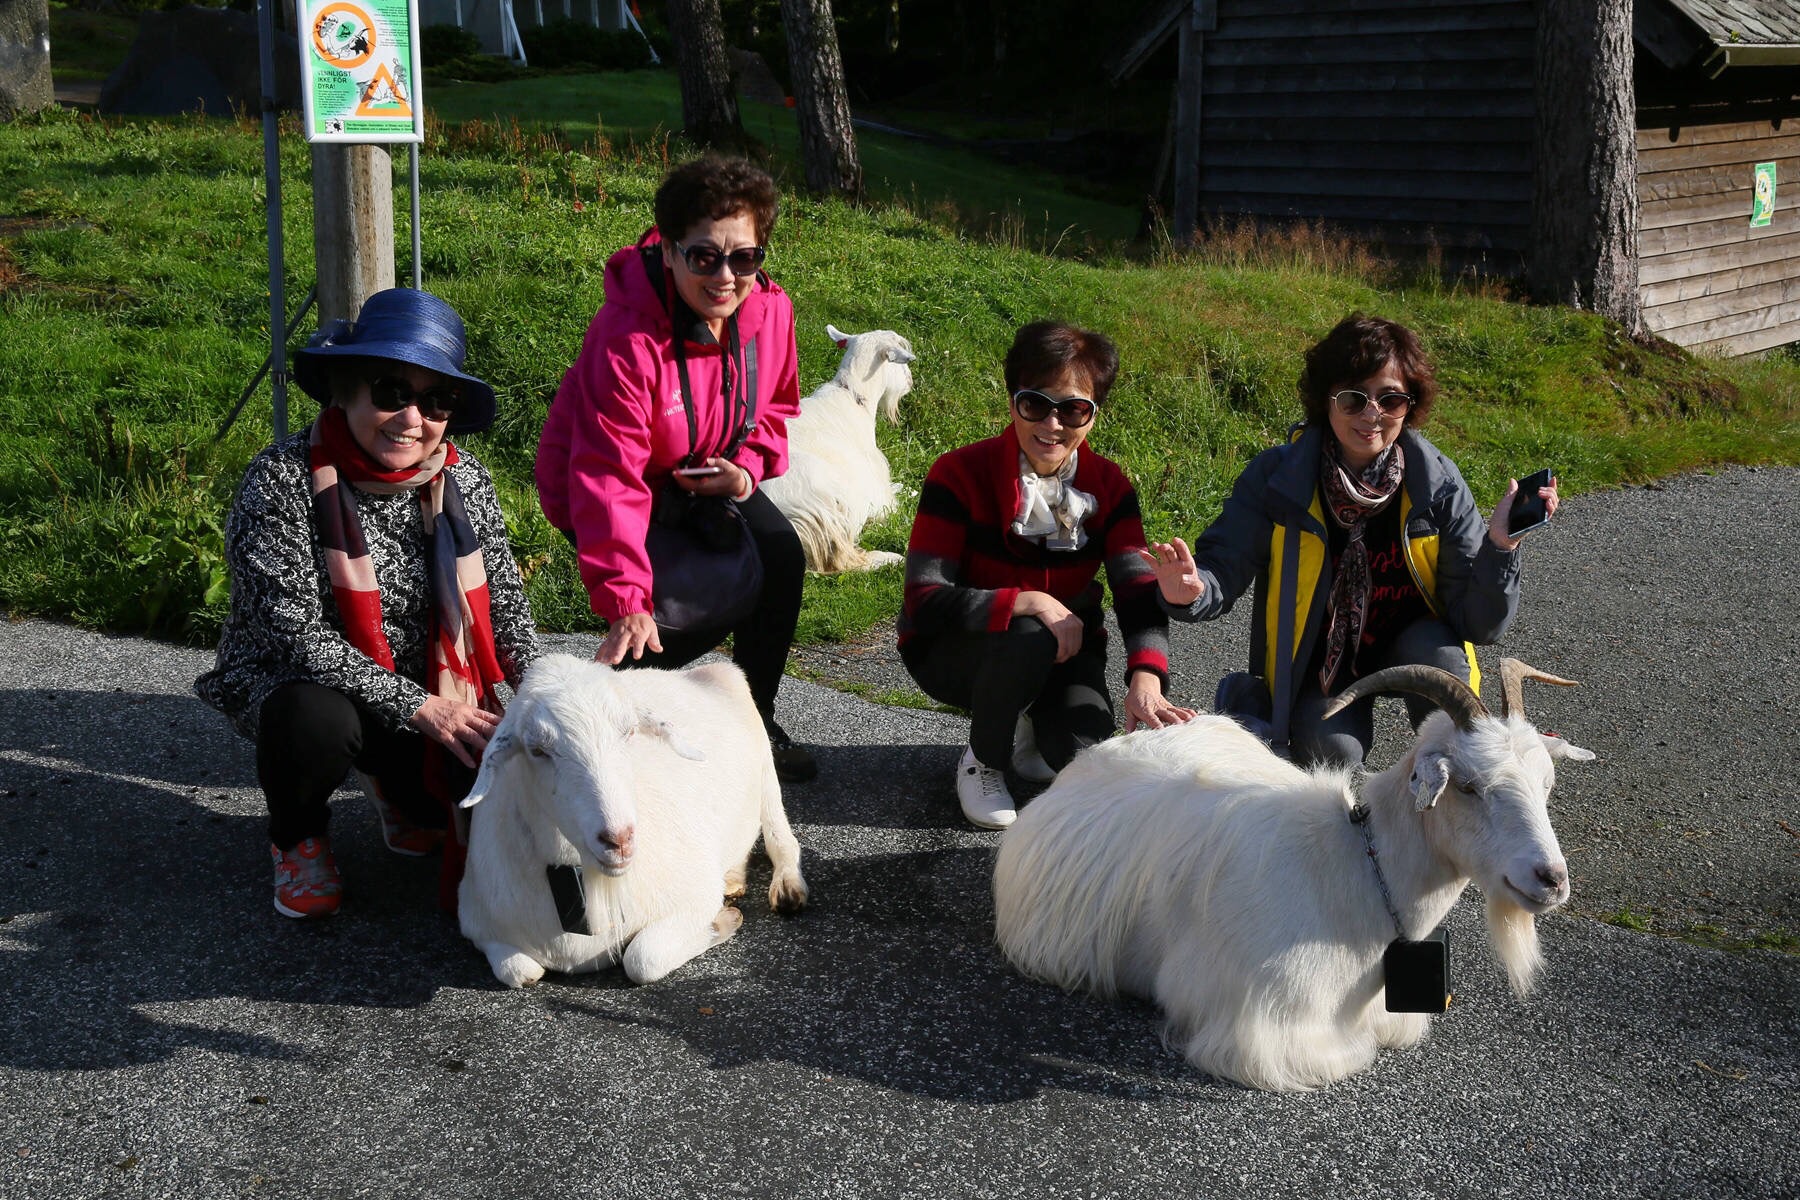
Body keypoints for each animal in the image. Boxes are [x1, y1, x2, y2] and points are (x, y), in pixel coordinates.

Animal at [457, 658, 810, 985]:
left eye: (629, 732)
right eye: (537, 750)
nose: (619, 840)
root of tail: (700, 671)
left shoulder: (697, 894)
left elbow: (642, 959)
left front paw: (722, 922)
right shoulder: (476, 922)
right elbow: (519, 971)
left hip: (766, 773)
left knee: (781, 835)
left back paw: (787, 887)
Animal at [759, 325, 914, 575]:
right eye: (900, 362)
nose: (910, 382)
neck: (854, 398)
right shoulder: (877, 492)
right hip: (824, 515)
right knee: (844, 560)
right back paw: (892, 558)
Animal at [993, 662, 1598, 1093]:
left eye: (1546, 783)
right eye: (1468, 787)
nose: (1551, 879)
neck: (1355, 870)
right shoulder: (1259, 1034)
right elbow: (1353, 1051)